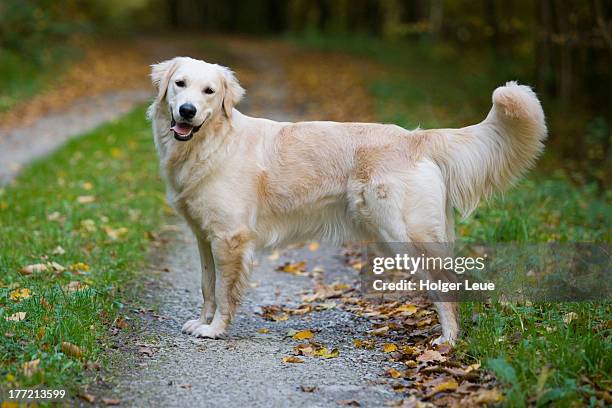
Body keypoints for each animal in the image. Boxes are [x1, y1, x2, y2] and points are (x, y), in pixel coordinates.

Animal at [147, 56, 544, 344]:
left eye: (209, 91)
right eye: (180, 85)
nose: (186, 111)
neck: (211, 142)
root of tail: (416, 137)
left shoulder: (231, 238)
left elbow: (225, 291)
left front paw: (215, 330)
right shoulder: (204, 237)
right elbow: (207, 286)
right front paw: (201, 322)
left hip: (407, 236)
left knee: (446, 287)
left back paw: (447, 341)